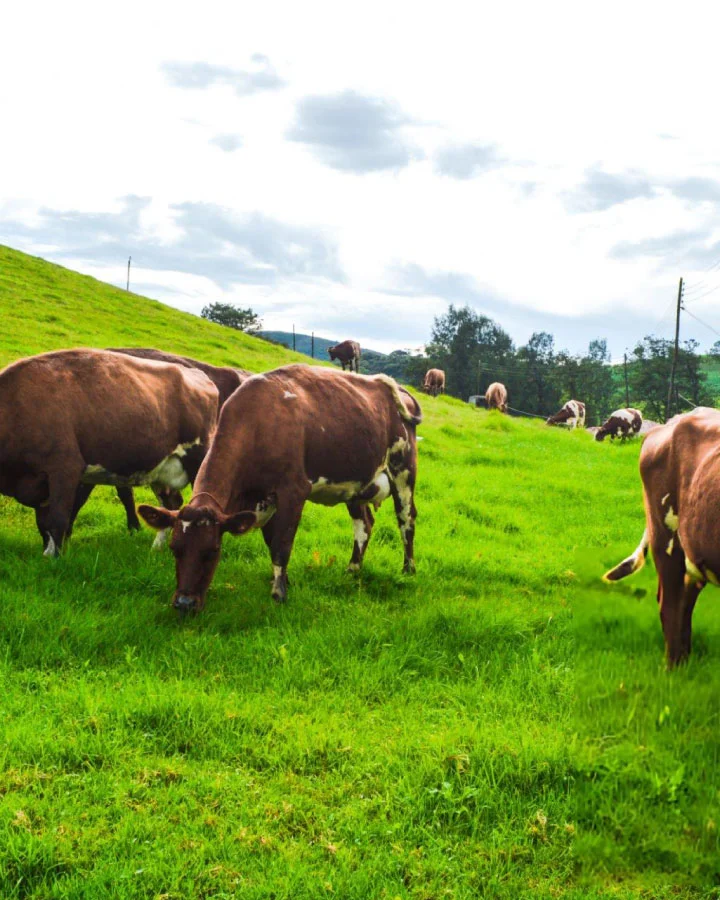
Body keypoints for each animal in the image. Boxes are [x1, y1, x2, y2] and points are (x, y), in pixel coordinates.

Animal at [0, 349, 218, 556]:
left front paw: (54, 559)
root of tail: (199, 375)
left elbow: (58, 519)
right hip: (162, 469)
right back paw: (156, 548)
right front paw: (47, 552)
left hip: (198, 459)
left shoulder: (65, 468)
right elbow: (44, 524)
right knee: (171, 503)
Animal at [138, 364, 422, 613]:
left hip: (403, 470)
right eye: (175, 548)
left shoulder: (294, 491)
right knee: (364, 524)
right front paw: (283, 580)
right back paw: (353, 568)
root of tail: (391, 385)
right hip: (357, 484)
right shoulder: (264, 499)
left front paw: (279, 594)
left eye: (212, 551)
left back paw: (408, 570)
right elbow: (270, 540)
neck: (257, 423)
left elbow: (281, 544)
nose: (184, 604)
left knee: (406, 519)